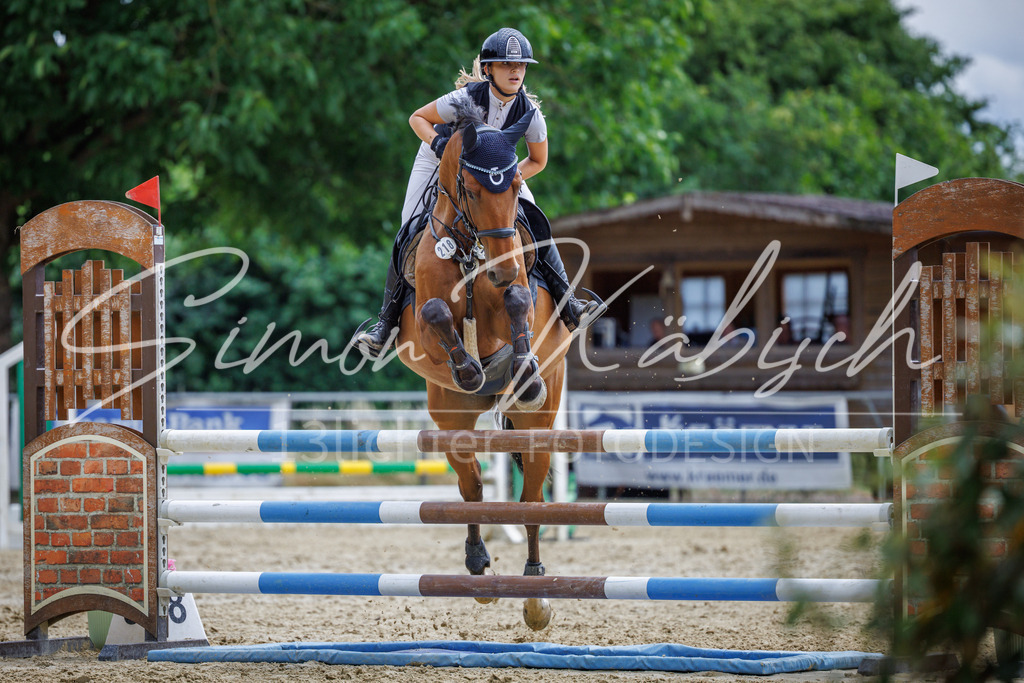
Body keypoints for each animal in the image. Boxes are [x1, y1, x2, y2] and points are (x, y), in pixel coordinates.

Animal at [395, 99, 572, 630]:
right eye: (472, 191)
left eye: (514, 188)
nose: (504, 265)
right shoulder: (423, 330)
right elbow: (435, 313)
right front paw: (471, 369)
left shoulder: (518, 297)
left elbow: (517, 301)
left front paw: (520, 369)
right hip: (450, 421)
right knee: (471, 486)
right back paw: (478, 568)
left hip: (538, 426)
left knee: (532, 498)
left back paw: (535, 593)